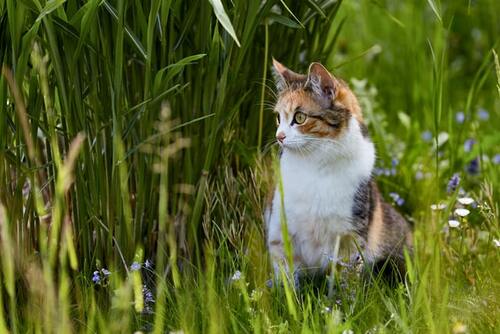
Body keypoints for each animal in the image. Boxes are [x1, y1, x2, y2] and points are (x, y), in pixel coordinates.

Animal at [264, 58, 412, 284]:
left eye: (300, 117)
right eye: (278, 118)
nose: (279, 136)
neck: (313, 164)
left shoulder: (350, 236)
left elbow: (345, 279)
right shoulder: (280, 231)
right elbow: (286, 277)